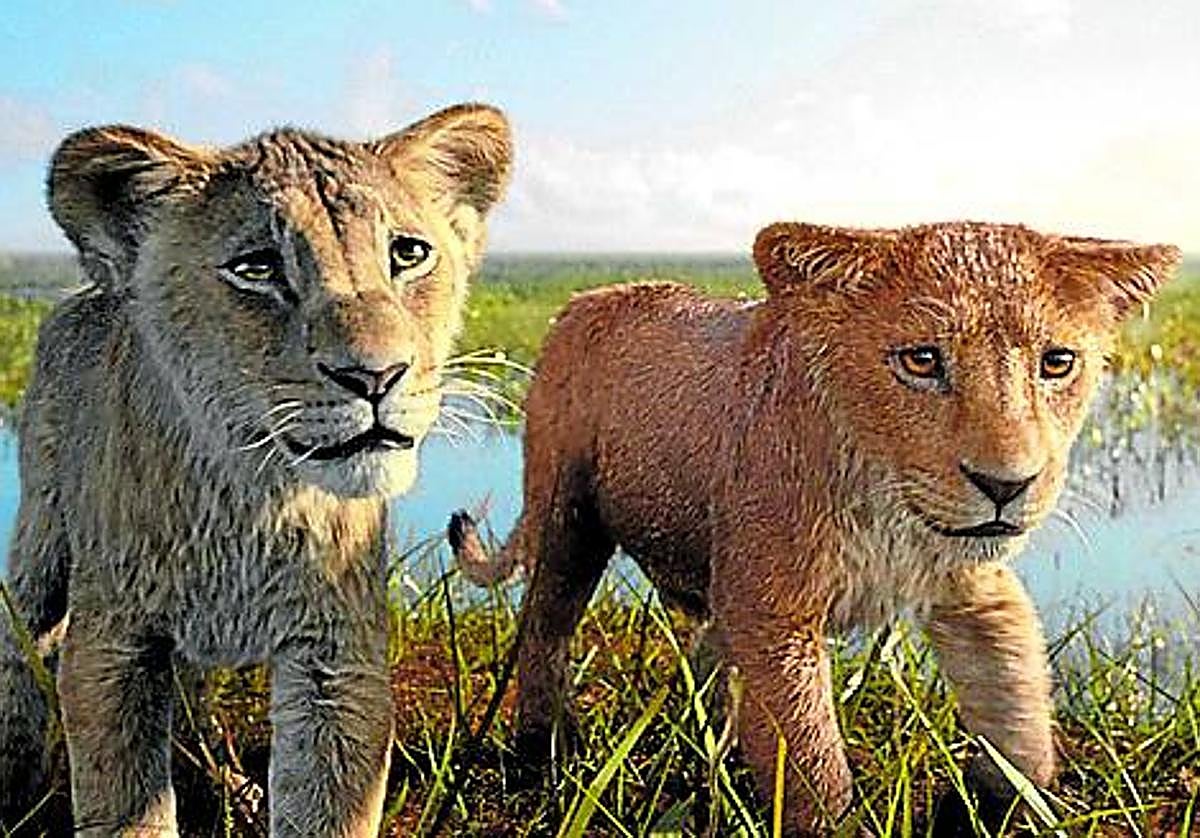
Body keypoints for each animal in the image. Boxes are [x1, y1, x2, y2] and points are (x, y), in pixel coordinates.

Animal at [0, 103, 511, 836]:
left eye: (408, 254)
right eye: (258, 267)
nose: (376, 376)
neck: (253, 495)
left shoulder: (336, 659)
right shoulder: (114, 648)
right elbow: (125, 806)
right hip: (40, 532)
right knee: (20, 646)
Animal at [449, 220, 1179, 834]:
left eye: (1056, 363)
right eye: (921, 361)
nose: (1006, 486)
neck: (887, 503)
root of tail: (586, 297)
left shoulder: (973, 587)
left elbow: (1018, 704)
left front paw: (1004, 809)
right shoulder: (774, 611)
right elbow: (812, 761)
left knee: (707, 652)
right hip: (565, 515)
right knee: (545, 628)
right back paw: (540, 754)